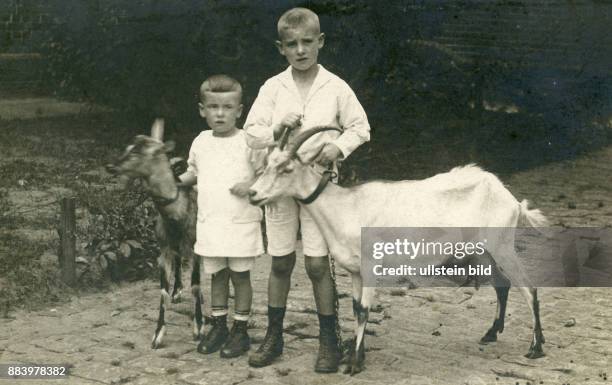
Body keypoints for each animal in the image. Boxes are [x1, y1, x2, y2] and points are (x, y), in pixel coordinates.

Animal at [106, 119, 207, 348]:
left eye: (138, 151)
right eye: (127, 146)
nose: (110, 167)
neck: (178, 212)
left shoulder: (196, 245)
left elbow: (196, 284)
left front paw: (198, 327)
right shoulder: (163, 249)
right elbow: (162, 290)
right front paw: (158, 334)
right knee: (179, 261)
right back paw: (177, 291)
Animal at [247, 125, 548, 372]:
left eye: (286, 168)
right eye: (267, 163)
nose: (252, 193)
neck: (346, 206)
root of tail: (510, 199)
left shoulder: (370, 265)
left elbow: (364, 309)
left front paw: (355, 363)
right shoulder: (355, 271)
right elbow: (355, 308)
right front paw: (356, 354)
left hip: (502, 246)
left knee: (529, 288)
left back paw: (536, 348)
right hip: (483, 252)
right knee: (502, 285)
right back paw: (491, 333)